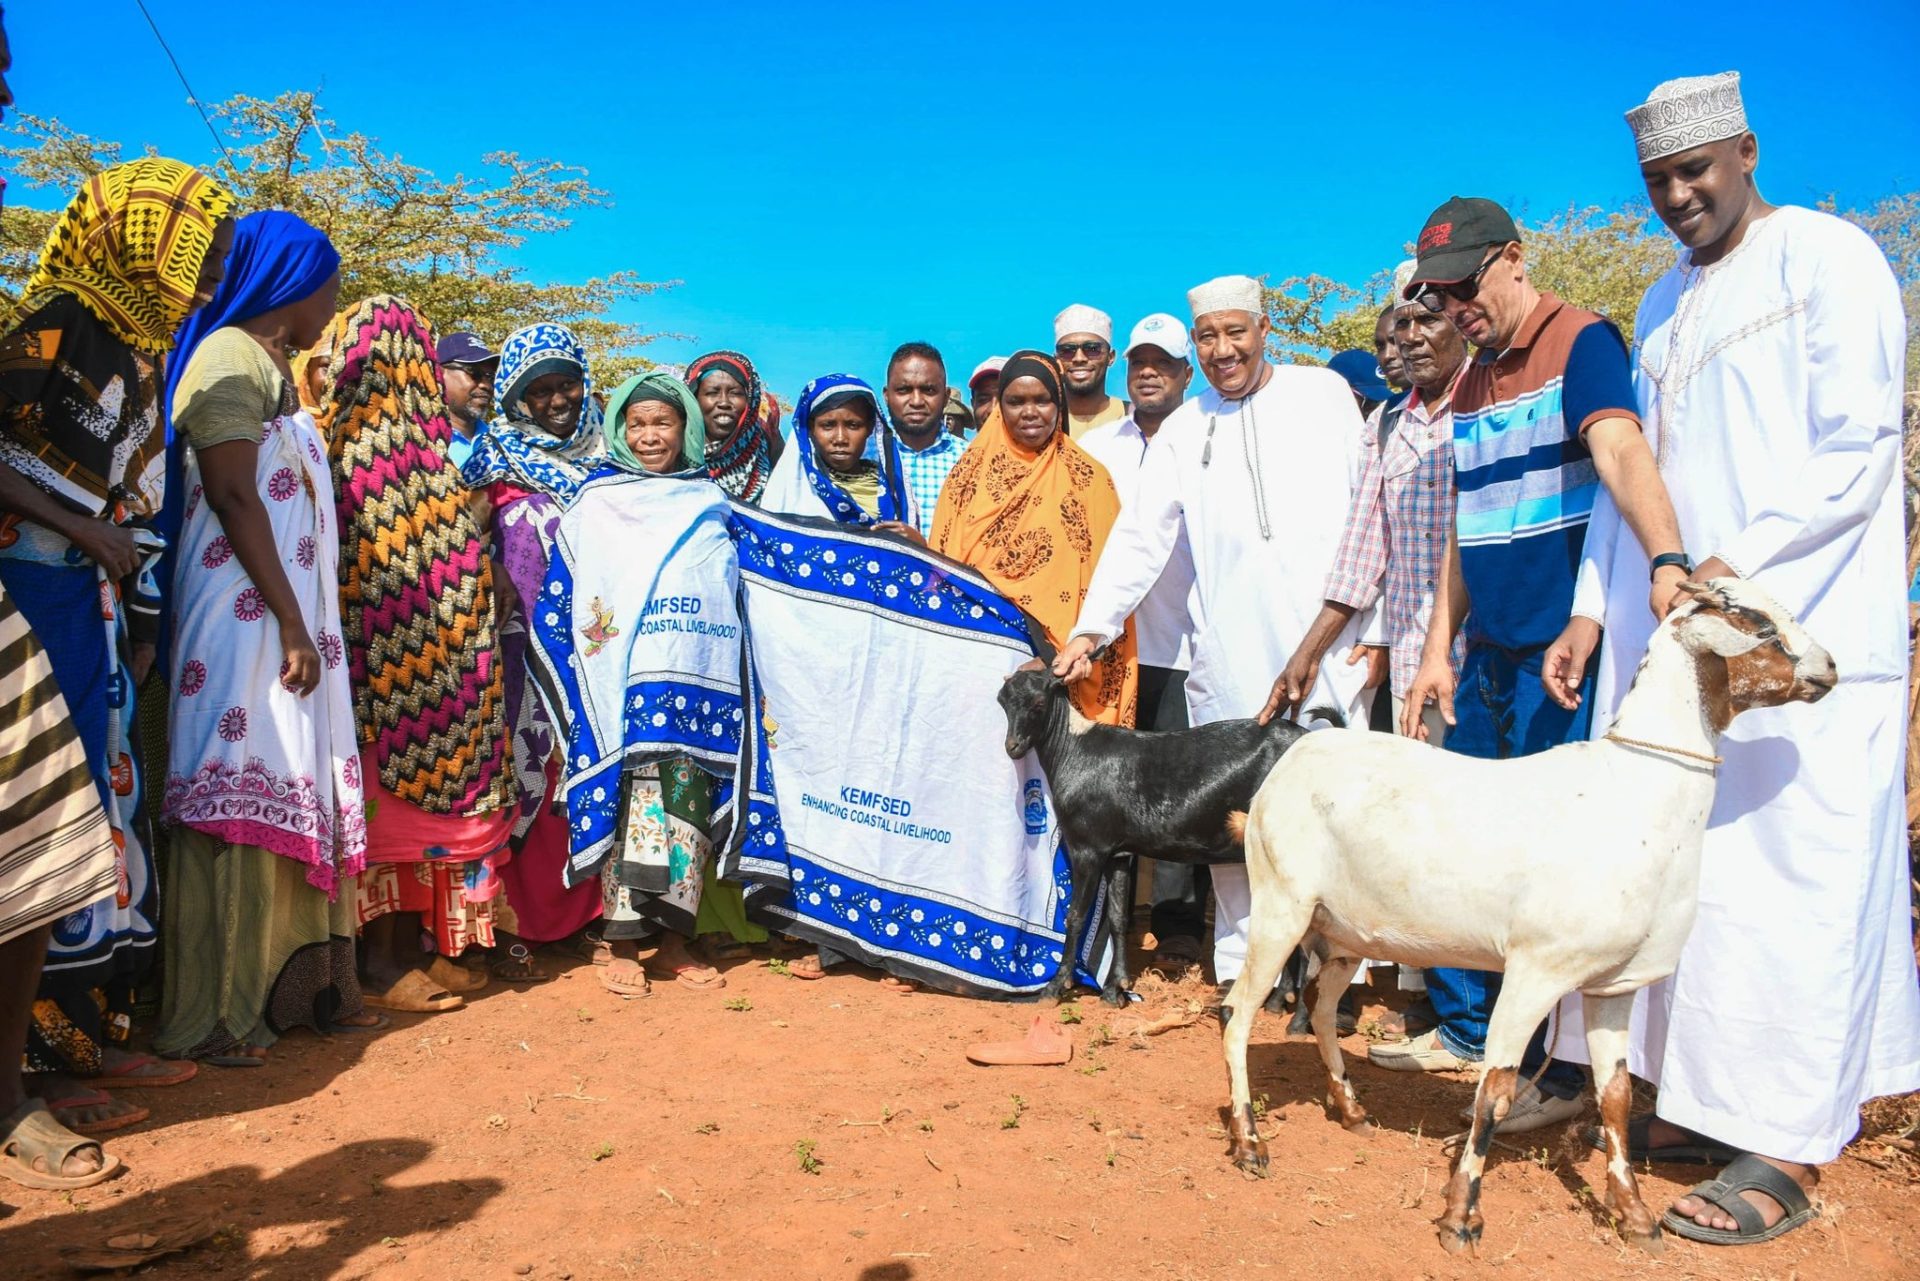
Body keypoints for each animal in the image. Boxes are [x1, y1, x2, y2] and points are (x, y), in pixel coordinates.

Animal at [998, 660, 1328, 1014]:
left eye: (1038, 703)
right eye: (1003, 701)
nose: (1013, 747)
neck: (1074, 750)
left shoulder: (1087, 847)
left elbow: (1076, 916)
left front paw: (1054, 988)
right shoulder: (1118, 852)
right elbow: (1117, 917)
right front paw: (1115, 990)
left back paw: (1283, 1001)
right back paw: (1281, 1000)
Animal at [1221, 580, 1835, 1252]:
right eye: (1759, 624)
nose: (1830, 669)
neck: (1639, 794)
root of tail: (1294, 756)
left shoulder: (1613, 985)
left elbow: (1615, 1097)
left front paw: (1636, 1217)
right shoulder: (1534, 972)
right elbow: (1494, 1094)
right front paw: (1460, 1218)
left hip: (1346, 929)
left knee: (1324, 1004)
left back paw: (1351, 1109)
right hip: (1280, 904)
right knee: (1237, 1014)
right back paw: (1249, 1143)